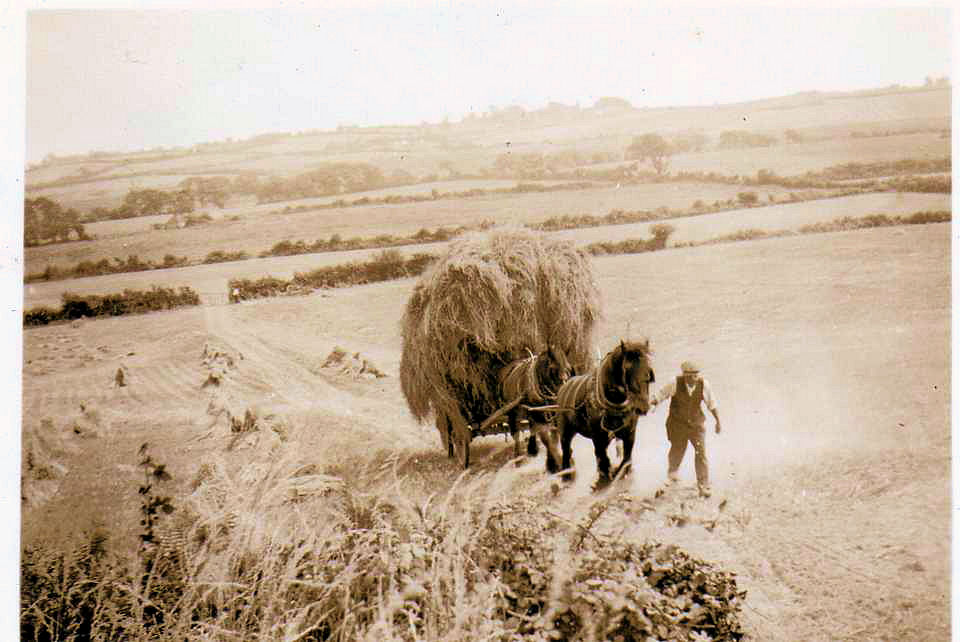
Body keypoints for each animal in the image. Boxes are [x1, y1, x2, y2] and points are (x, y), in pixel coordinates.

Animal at [552, 338, 656, 488]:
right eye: (626, 369)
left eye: (648, 371)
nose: (642, 407)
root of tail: (564, 386)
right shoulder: (597, 435)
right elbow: (602, 456)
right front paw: (605, 476)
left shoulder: (630, 432)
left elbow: (626, 457)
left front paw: (622, 471)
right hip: (565, 432)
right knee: (567, 451)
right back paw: (566, 476)